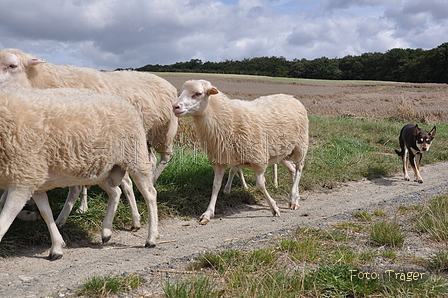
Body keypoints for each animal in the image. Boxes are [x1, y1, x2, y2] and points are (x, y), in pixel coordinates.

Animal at [0, 47, 178, 227]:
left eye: (13, 65)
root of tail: (164, 81)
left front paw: (82, 207)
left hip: (162, 133)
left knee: (164, 157)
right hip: (141, 139)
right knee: (151, 160)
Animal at [0, 87, 159, 260]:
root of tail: (122, 100)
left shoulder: (22, 181)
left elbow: (3, 223)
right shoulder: (33, 180)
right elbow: (45, 212)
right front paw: (57, 247)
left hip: (135, 158)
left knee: (150, 194)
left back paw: (151, 238)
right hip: (102, 169)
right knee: (115, 192)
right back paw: (106, 231)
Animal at [172, 78, 308, 224]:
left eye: (198, 93)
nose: (175, 107)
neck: (225, 117)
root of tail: (291, 97)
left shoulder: (258, 159)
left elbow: (260, 184)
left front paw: (274, 207)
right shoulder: (220, 159)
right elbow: (216, 185)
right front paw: (207, 213)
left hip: (300, 146)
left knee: (299, 169)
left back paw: (293, 197)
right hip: (281, 153)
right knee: (293, 169)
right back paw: (295, 198)